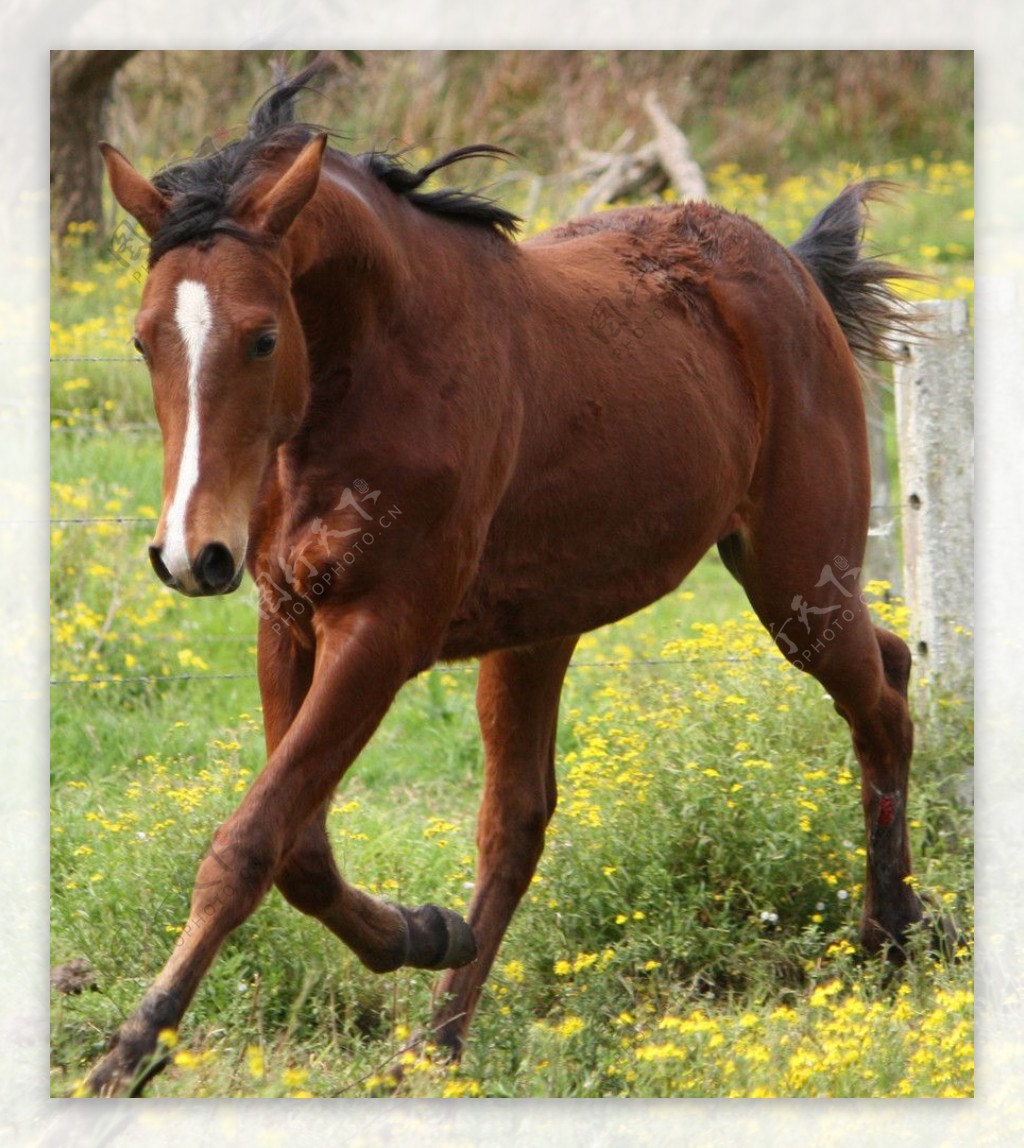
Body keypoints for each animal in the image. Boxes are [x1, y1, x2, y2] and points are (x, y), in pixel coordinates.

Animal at [90, 69, 927, 1092]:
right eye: (143, 341)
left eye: (259, 338)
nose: (188, 555)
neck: (376, 371)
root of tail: (793, 271)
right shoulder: (286, 623)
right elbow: (301, 850)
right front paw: (421, 930)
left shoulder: (381, 635)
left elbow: (251, 844)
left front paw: (131, 1048)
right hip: (547, 630)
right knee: (519, 821)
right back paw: (437, 1043)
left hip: (796, 583)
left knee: (881, 702)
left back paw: (892, 937)